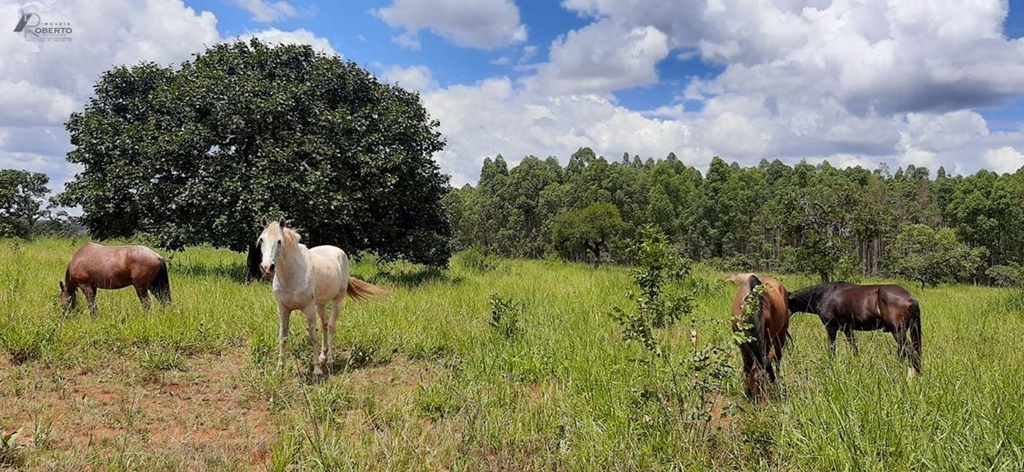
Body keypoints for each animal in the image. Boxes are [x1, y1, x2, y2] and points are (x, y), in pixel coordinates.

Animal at [256, 219, 387, 372]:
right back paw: (323, 356)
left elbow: (313, 337)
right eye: (261, 239)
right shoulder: (283, 309)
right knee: (325, 325)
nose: (266, 268)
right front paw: (279, 368)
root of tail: (339, 252)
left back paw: (329, 361)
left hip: (337, 301)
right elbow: (283, 337)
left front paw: (317, 370)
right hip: (320, 304)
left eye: (279, 241)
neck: (293, 275)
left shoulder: (309, 309)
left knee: (331, 327)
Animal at [786, 280, 925, 376]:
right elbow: (854, 348)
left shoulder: (831, 328)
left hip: (898, 331)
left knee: (910, 352)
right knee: (907, 352)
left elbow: (832, 348)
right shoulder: (848, 329)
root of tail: (911, 298)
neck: (822, 295)